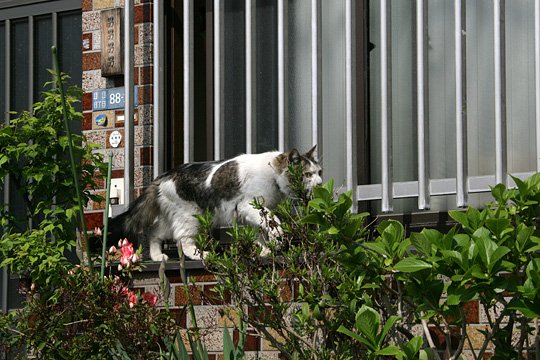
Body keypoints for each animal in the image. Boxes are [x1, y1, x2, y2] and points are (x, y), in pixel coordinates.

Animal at [107, 146, 322, 262]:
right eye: (307, 174)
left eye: (319, 172)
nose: (320, 183)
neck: (273, 174)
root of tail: (164, 175)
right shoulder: (249, 206)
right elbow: (274, 221)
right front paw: (277, 239)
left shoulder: (251, 213)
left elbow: (260, 232)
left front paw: (264, 250)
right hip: (190, 217)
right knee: (183, 241)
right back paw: (203, 255)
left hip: (175, 218)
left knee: (154, 233)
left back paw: (158, 257)